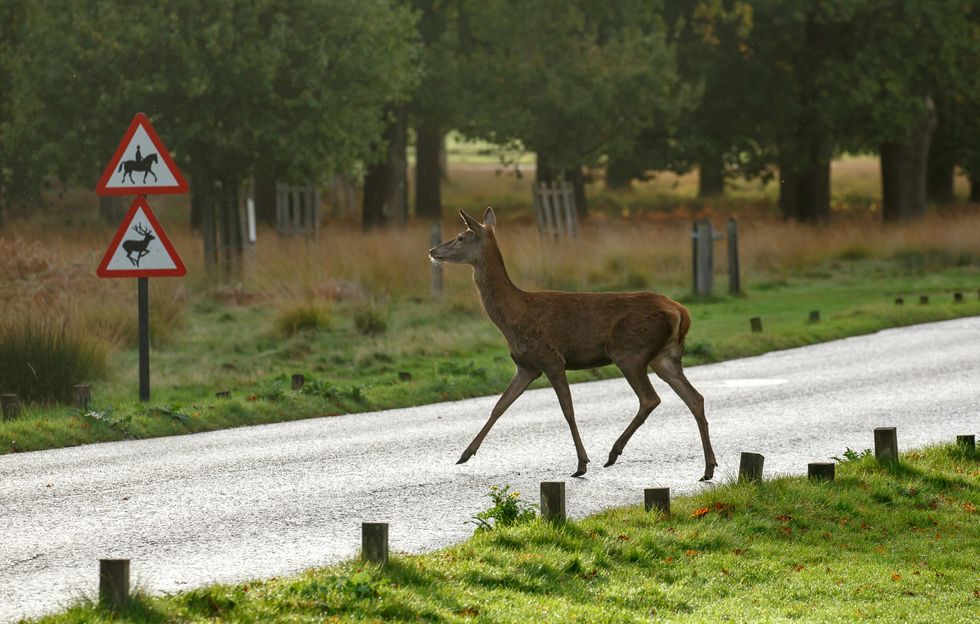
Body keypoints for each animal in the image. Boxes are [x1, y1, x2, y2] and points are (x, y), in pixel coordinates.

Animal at [428, 210, 720, 482]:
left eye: (461, 237)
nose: (433, 251)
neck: (514, 316)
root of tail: (681, 311)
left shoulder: (552, 358)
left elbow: (567, 410)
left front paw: (581, 463)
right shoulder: (526, 366)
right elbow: (499, 406)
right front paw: (465, 454)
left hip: (630, 352)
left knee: (650, 398)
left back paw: (613, 453)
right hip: (665, 356)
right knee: (695, 398)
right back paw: (708, 468)